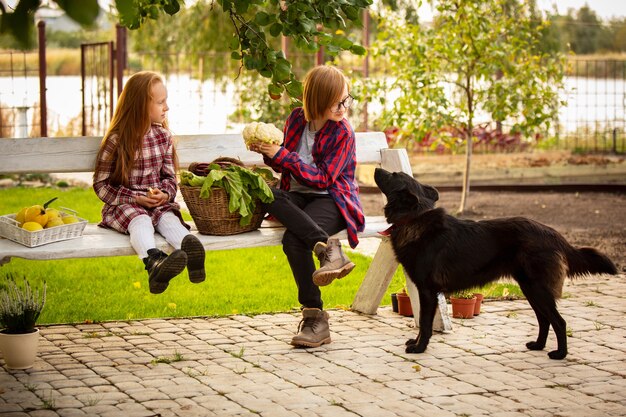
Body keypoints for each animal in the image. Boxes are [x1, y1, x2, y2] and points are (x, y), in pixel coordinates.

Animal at [372, 167, 616, 360]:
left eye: (393, 174)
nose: (375, 168)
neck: (414, 218)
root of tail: (554, 234)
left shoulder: (428, 291)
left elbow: (424, 322)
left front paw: (419, 348)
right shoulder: (427, 292)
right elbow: (423, 322)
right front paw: (416, 343)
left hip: (538, 288)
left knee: (558, 321)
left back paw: (560, 354)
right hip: (530, 289)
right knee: (544, 319)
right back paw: (538, 345)